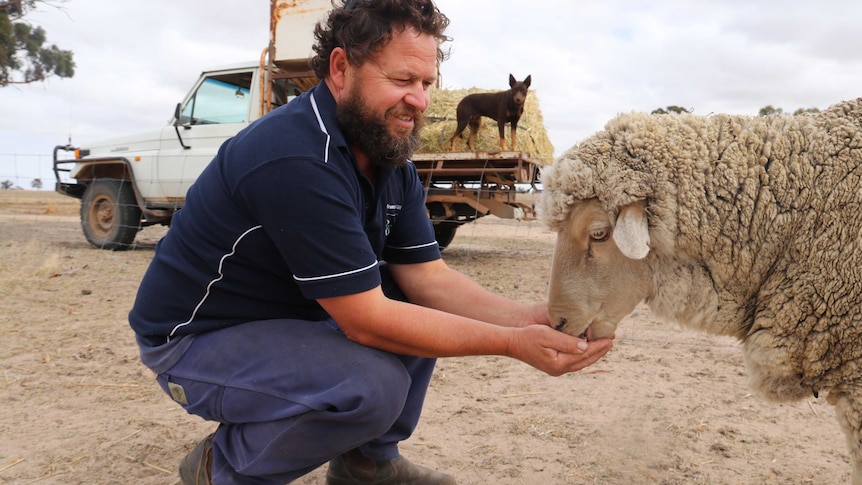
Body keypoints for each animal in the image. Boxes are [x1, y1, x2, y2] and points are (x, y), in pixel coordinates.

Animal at [126, 0, 616, 484]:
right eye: (402, 80)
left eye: (420, 82)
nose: (515, 100)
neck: (347, 132)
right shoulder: (293, 173)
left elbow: (428, 271)